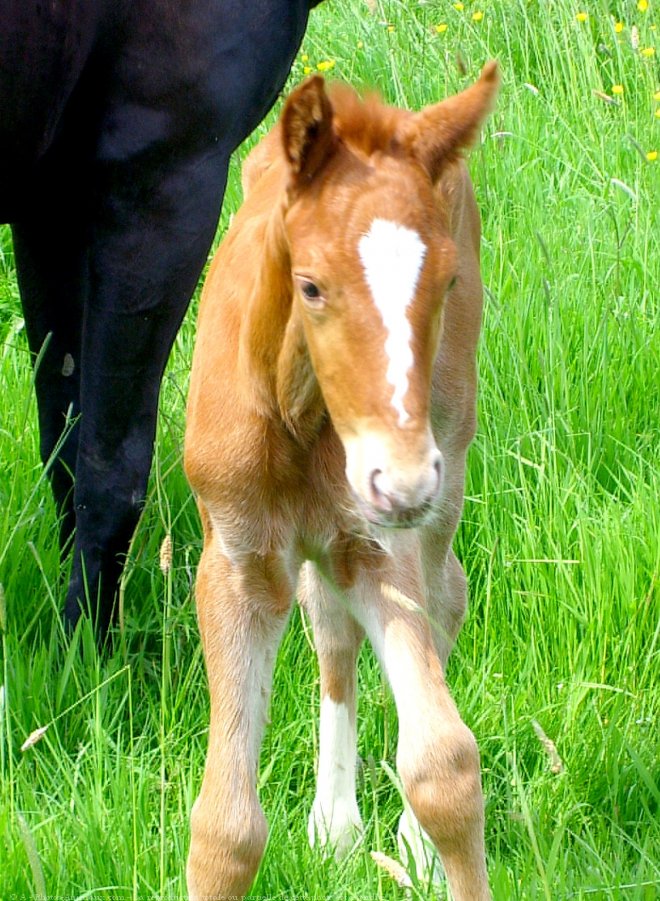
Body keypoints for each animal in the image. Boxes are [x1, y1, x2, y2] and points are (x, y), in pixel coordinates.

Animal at [183, 65, 498, 900]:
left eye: (446, 282)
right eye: (312, 286)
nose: (402, 478)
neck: (297, 417)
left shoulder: (379, 545)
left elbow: (445, 763)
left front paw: (426, 844)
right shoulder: (236, 561)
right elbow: (224, 827)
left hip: (441, 467)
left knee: (443, 593)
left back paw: (406, 847)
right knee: (328, 622)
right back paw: (335, 826)